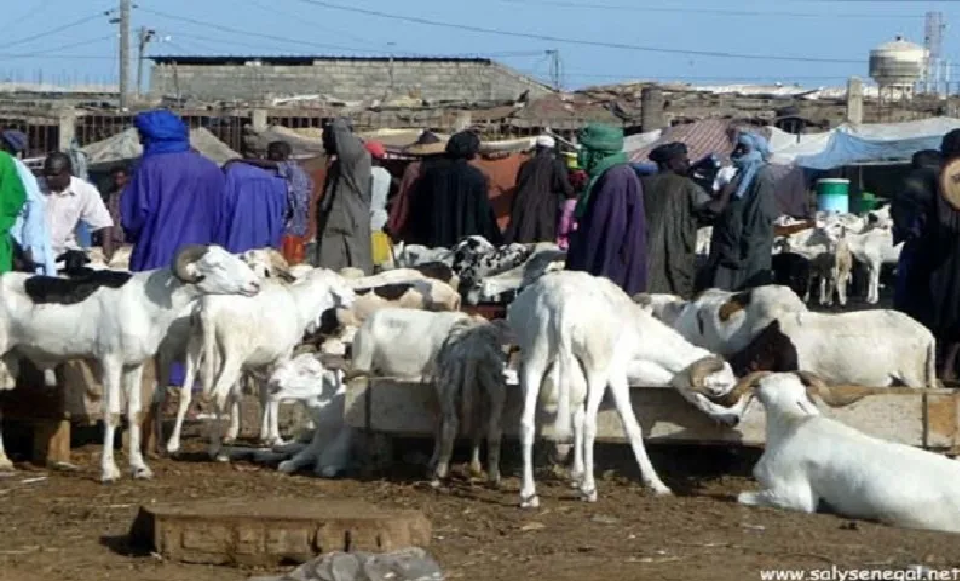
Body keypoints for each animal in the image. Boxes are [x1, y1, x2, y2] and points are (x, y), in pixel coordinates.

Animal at [0, 245, 260, 480]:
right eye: (216, 265)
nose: (255, 284)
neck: (143, 303)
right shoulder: (111, 362)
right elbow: (113, 413)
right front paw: (109, 471)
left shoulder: (135, 365)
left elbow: (134, 413)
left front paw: (140, 468)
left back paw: (5, 463)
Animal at [432, 314, 512, 488]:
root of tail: (474, 351)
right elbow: (478, 429)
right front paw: (475, 467)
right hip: (496, 389)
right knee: (494, 429)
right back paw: (494, 477)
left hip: (449, 387)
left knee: (450, 426)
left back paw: (440, 472)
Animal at [506, 272, 740, 508]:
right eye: (719, 390)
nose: (735, 418)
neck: (634, 324)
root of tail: (561, 303)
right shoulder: (617, 372)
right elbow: (631, 427)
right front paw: (657, 485)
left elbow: (577, 419)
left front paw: (576, 475)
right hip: (597, 367)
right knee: (590, 423)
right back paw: (590, 490)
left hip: (535, 360)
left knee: (527, 423)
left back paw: (528, 495)